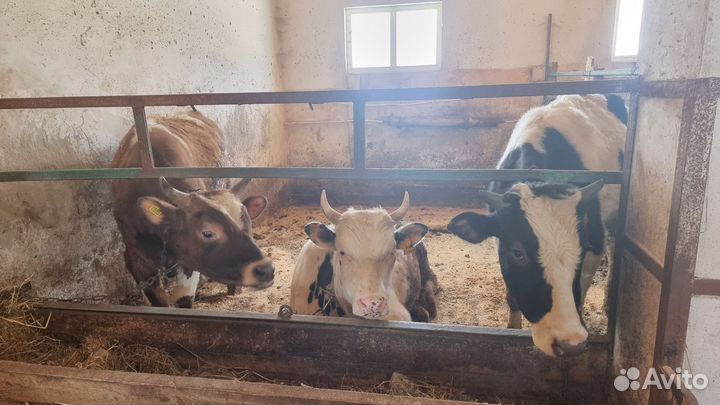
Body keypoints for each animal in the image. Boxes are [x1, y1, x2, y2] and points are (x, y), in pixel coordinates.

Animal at [111, 110, 275, 308]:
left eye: (248, 224)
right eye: (207, 233)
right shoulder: (134, 256)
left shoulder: (188, 263)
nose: (266, 269)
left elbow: (184, 300)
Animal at [448, 94, 627, 357]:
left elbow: (582, 288)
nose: (570, 344)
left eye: (581, 249)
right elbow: (512, 296)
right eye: (517, 252)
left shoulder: (595, 238)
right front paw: (512, 328)